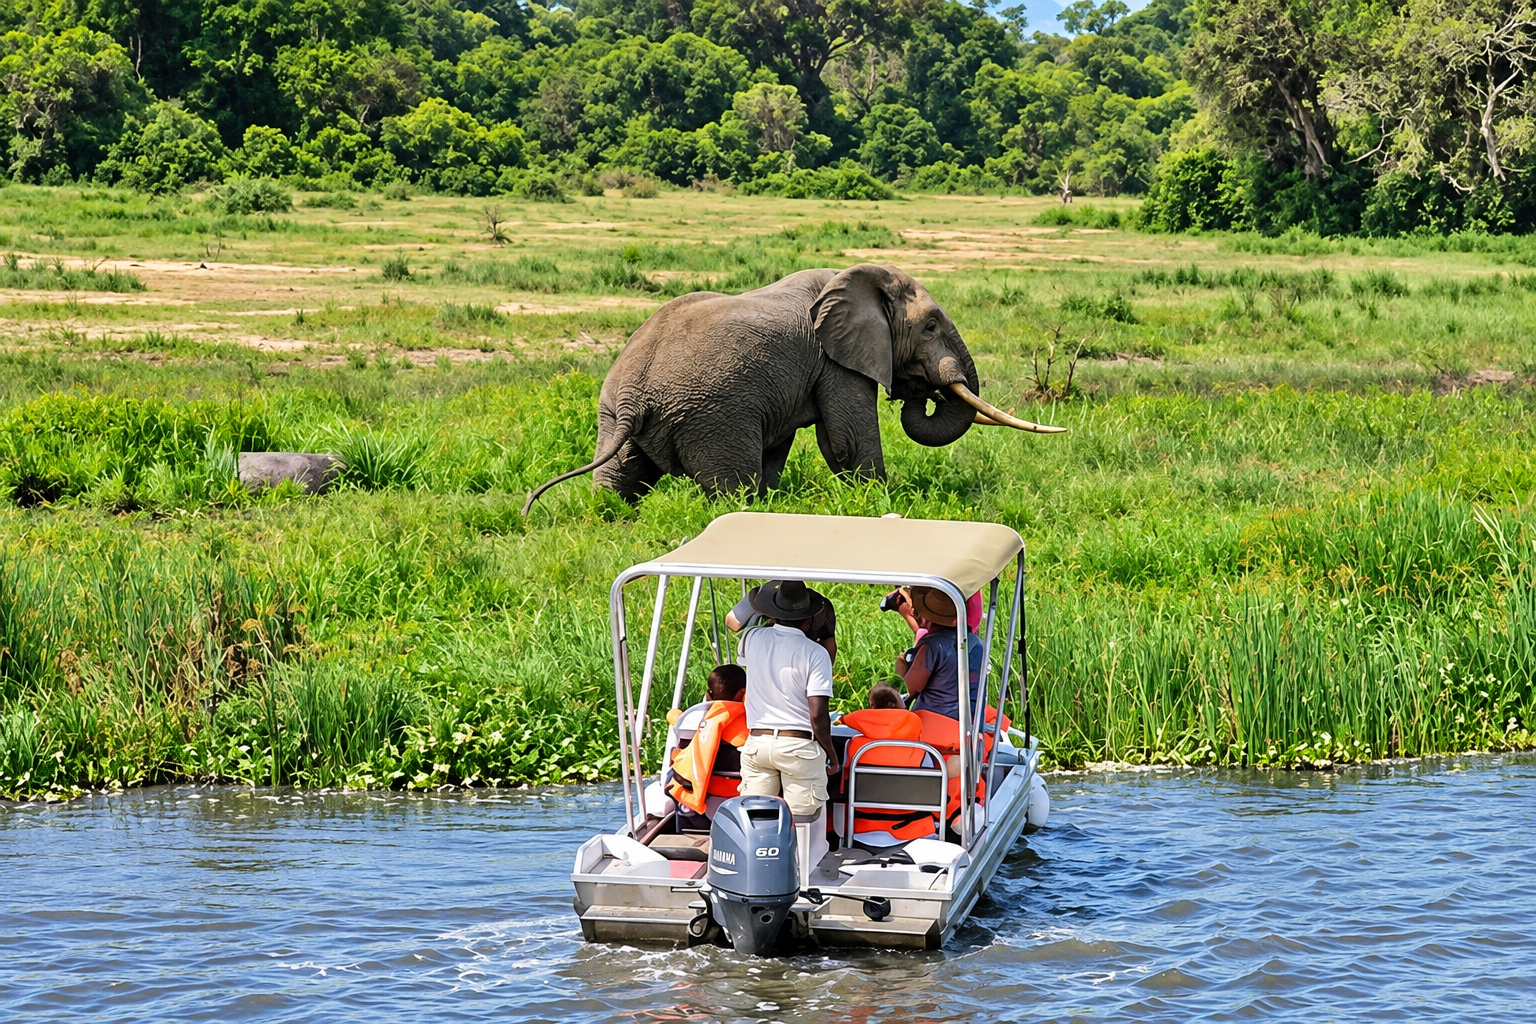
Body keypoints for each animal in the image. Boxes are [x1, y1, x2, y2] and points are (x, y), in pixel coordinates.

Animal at [522, 263, 1063, 514]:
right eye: (930, 327)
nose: (924, 391)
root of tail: (633, 394)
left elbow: (782, 446)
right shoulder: (836, 362)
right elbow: (844, 439)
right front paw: (881, 503)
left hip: (615, 418)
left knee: (618, 481)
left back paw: (610, 514)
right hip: (712, 417)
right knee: (730, 486)